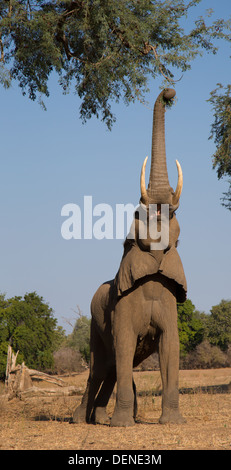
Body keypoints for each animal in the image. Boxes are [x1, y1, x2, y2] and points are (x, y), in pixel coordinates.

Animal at [73, 87, 187, 426]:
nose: (169, 93)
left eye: (173, 215)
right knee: (100, 368)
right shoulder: (120, 308)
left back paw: (99, 420)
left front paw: (171, 422)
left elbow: (170, 346)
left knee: (110, 369)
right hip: (94, 325)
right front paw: (123, 425)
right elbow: (123, 344)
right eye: (139, 213)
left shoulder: (168, 301)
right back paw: (80, 420)